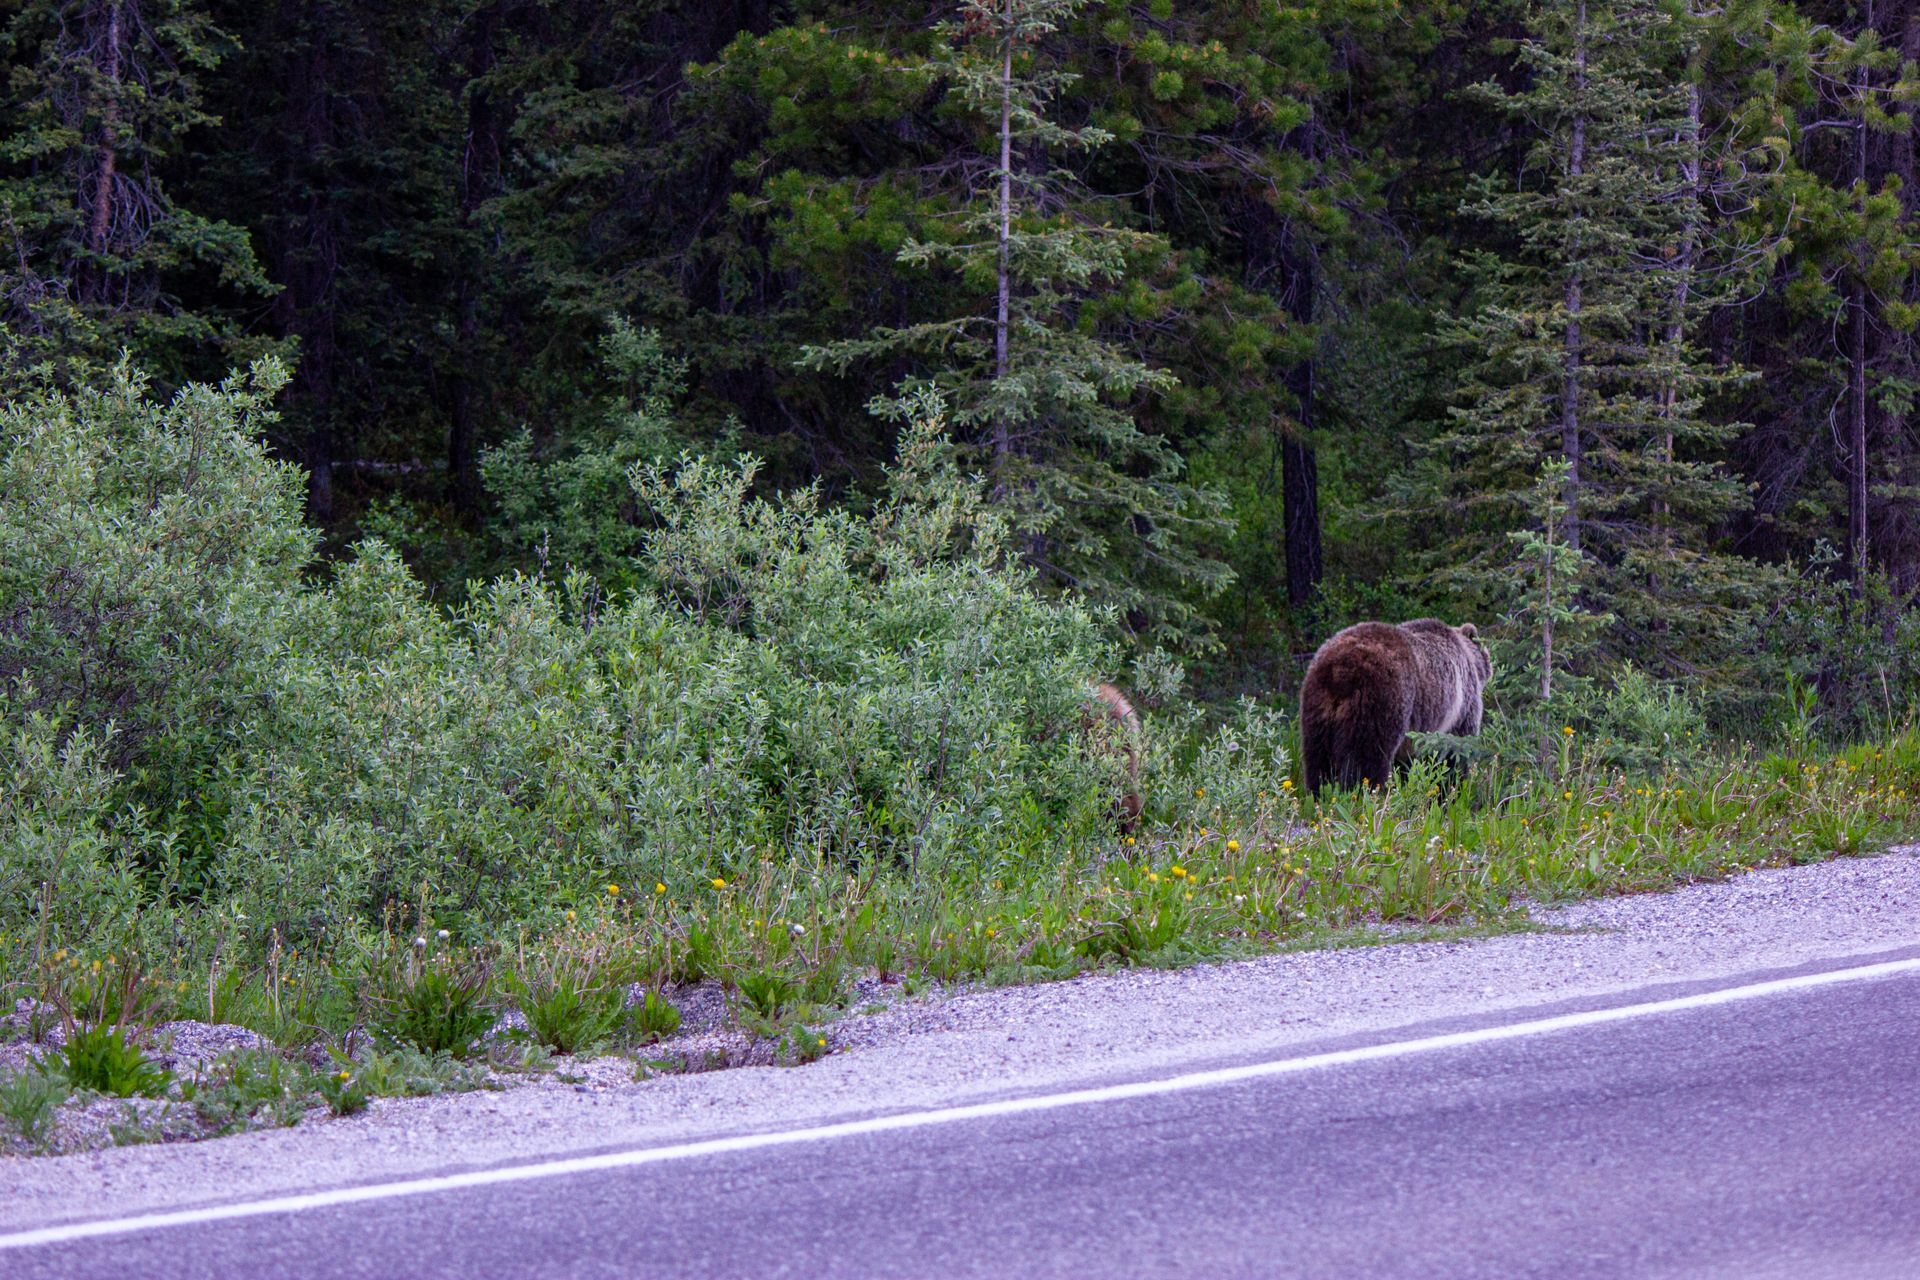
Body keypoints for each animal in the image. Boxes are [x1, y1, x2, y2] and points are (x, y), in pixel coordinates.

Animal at [1299, 619, 1490, 795]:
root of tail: (1340, 669)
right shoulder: (1461, 707)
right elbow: (1454, 751)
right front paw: (1452, 787)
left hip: (1317, 706)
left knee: (1318, 759)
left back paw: (1319, 793)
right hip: (1382, 701)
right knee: (1367, 757)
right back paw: (1364, 793)